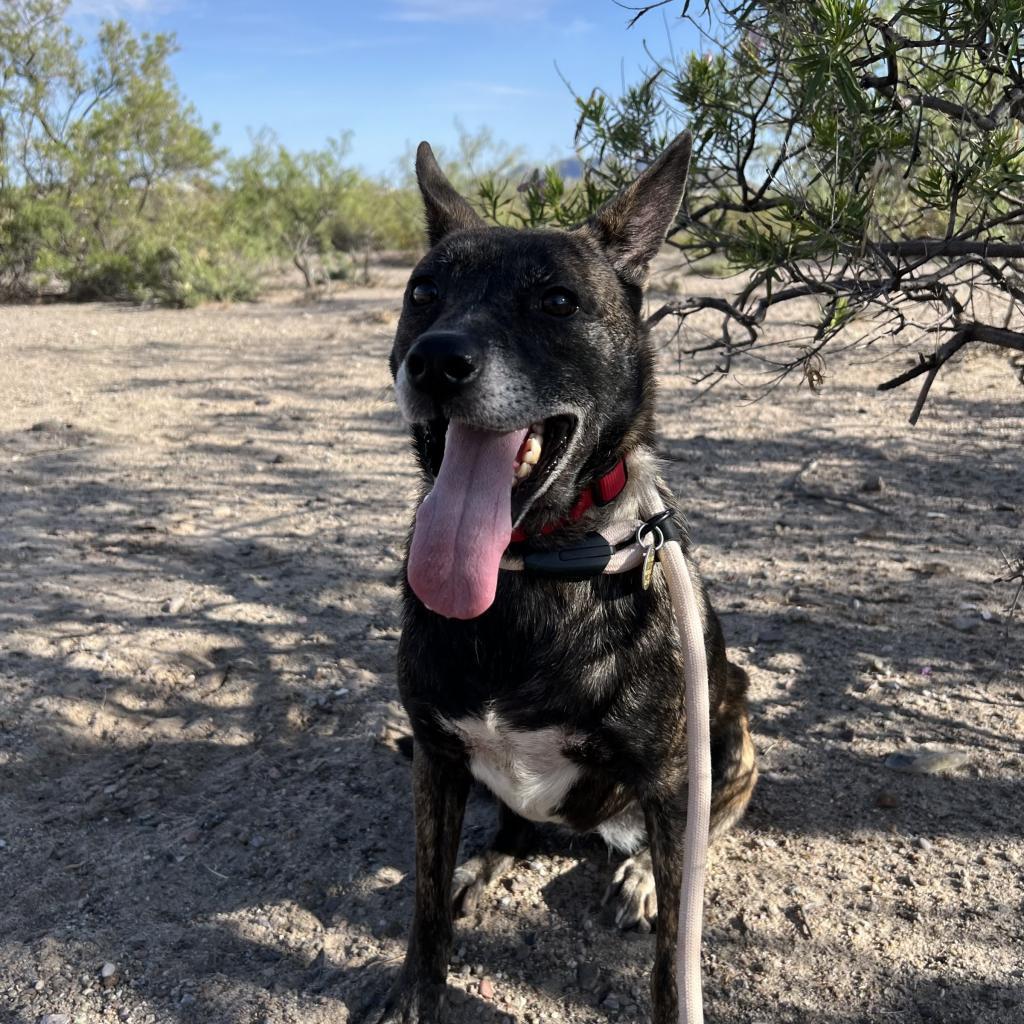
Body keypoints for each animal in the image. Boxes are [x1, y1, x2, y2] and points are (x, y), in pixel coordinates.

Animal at [358, 132, 753, 1019]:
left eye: (558, 302)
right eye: (422, 293)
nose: (437, 363)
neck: (528, 569)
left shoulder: (674, 779)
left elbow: (673, 957)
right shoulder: (437, 757)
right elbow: (424, 904)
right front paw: (416, 990)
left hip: (734, 733)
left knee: (697, 838)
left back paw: (639, 873)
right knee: (513, 828)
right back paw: (484, 864)